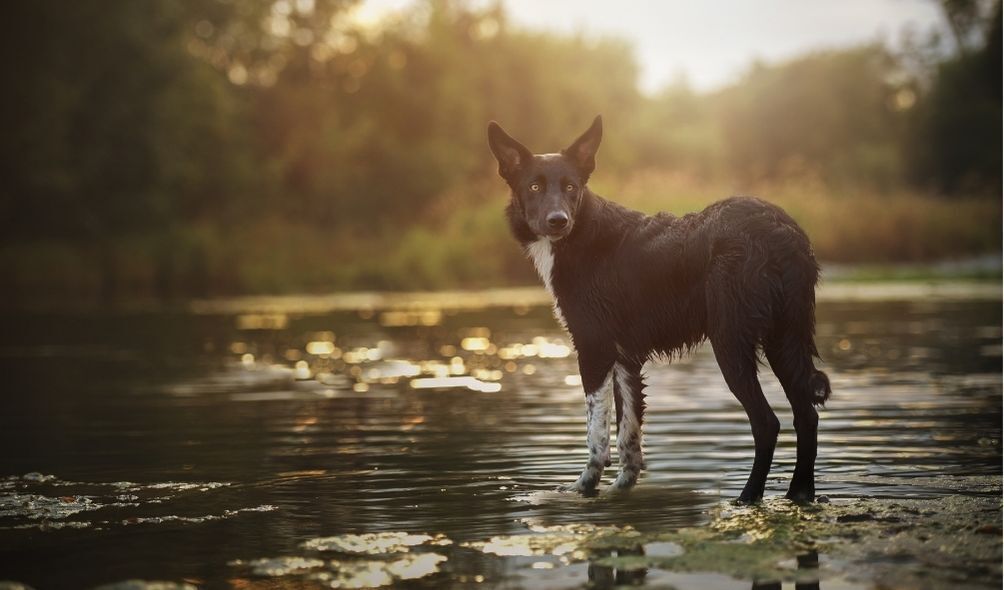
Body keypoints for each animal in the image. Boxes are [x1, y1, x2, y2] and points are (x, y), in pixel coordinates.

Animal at [487, 113, 831, 501]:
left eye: (571, 187)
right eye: (534, 187)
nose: (558, 220)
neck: (581, 236)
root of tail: (782, 231)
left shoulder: (593, 349)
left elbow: (597, 434)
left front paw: (584, 489)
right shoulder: (626, 360)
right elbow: (629, 438)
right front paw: (621, 491)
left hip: (730, 343)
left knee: (767, 422)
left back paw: (746, 499)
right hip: (783, 341)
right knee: (806, 417)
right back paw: (798, 495)